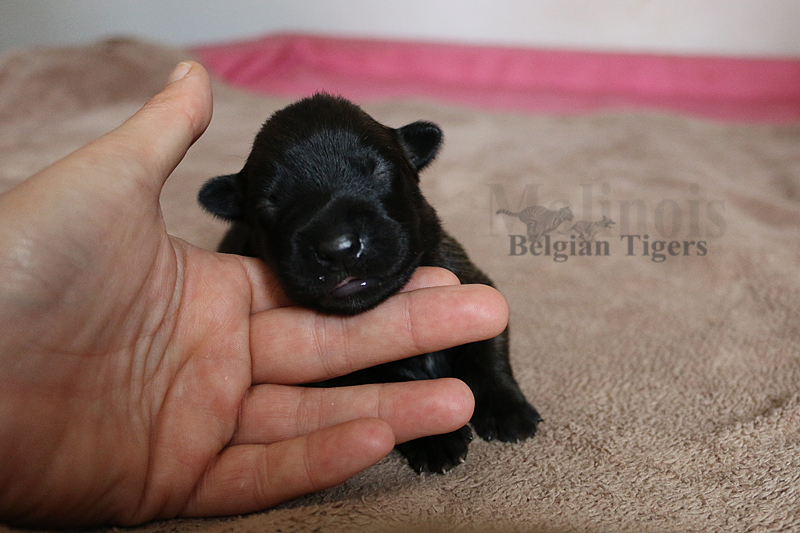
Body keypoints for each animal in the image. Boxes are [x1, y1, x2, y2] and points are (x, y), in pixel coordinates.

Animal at [198, 94, 541, 473]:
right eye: (269, 203)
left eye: (379, 172)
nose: (338, 247)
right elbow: (391, 380)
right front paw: (433, 432)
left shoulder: (472, 283)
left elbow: (484, 347)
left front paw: (508, 411)